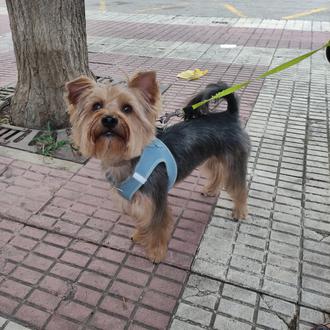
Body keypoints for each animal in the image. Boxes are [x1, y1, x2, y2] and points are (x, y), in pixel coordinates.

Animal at [65, 71, 250, 262]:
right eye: (96, 106)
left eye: (127, 108)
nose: (109, 119)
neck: (127, 160)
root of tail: (229, 115)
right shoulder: (136, 202)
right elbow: (143, 221)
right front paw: (141, 235)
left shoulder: (156, 200)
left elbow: (158, 225)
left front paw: (156, 252)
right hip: (211, 157)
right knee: (217, 172)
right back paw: (212, 189)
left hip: (234, 160)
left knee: (239, 186)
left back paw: (240, 211)